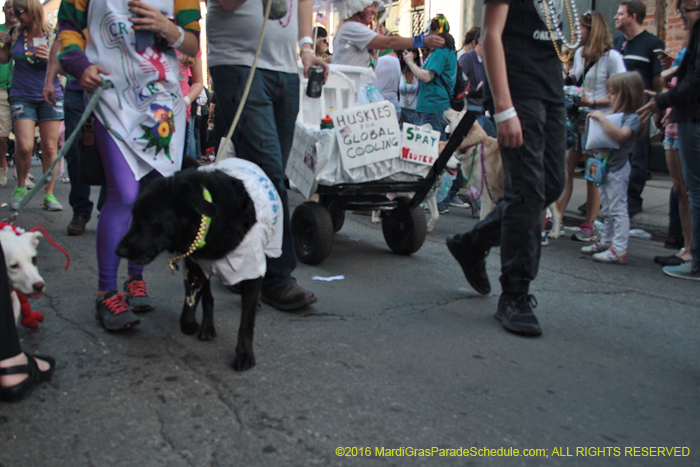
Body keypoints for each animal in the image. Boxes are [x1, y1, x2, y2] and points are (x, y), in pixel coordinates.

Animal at [116, 165, 266, 372]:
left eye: (150, 219)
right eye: (134, 215)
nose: (119, 250)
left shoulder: (250, 269)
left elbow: (246, 321)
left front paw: (244, 354)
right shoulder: (197, 265)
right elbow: (192, 305)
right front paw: (193, 324)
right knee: (208, 297)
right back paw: (207, 327)